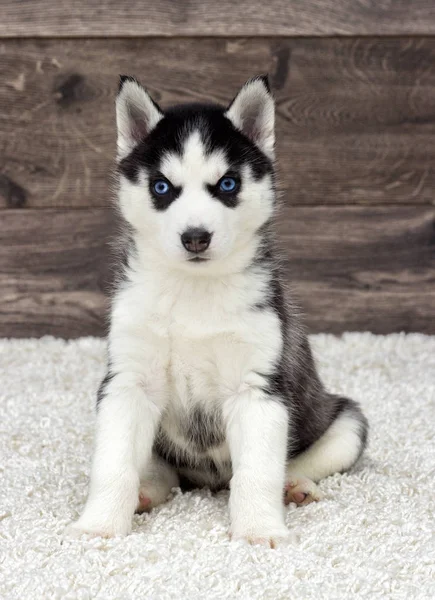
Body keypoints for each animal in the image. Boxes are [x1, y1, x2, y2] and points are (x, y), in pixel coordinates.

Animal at [70, 76, 370, 548]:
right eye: (161, 187)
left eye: (227, 184)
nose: (196, 237)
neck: (194, 290)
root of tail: (207, 482)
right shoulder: (127, 383)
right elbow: (113, 465)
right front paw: (98, 525)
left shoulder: (258, 388)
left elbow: (258, 472)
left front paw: (259, 530)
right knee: (162, 472)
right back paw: (145, 492)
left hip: (347, 423)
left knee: (295, 461)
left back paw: (296, 487)